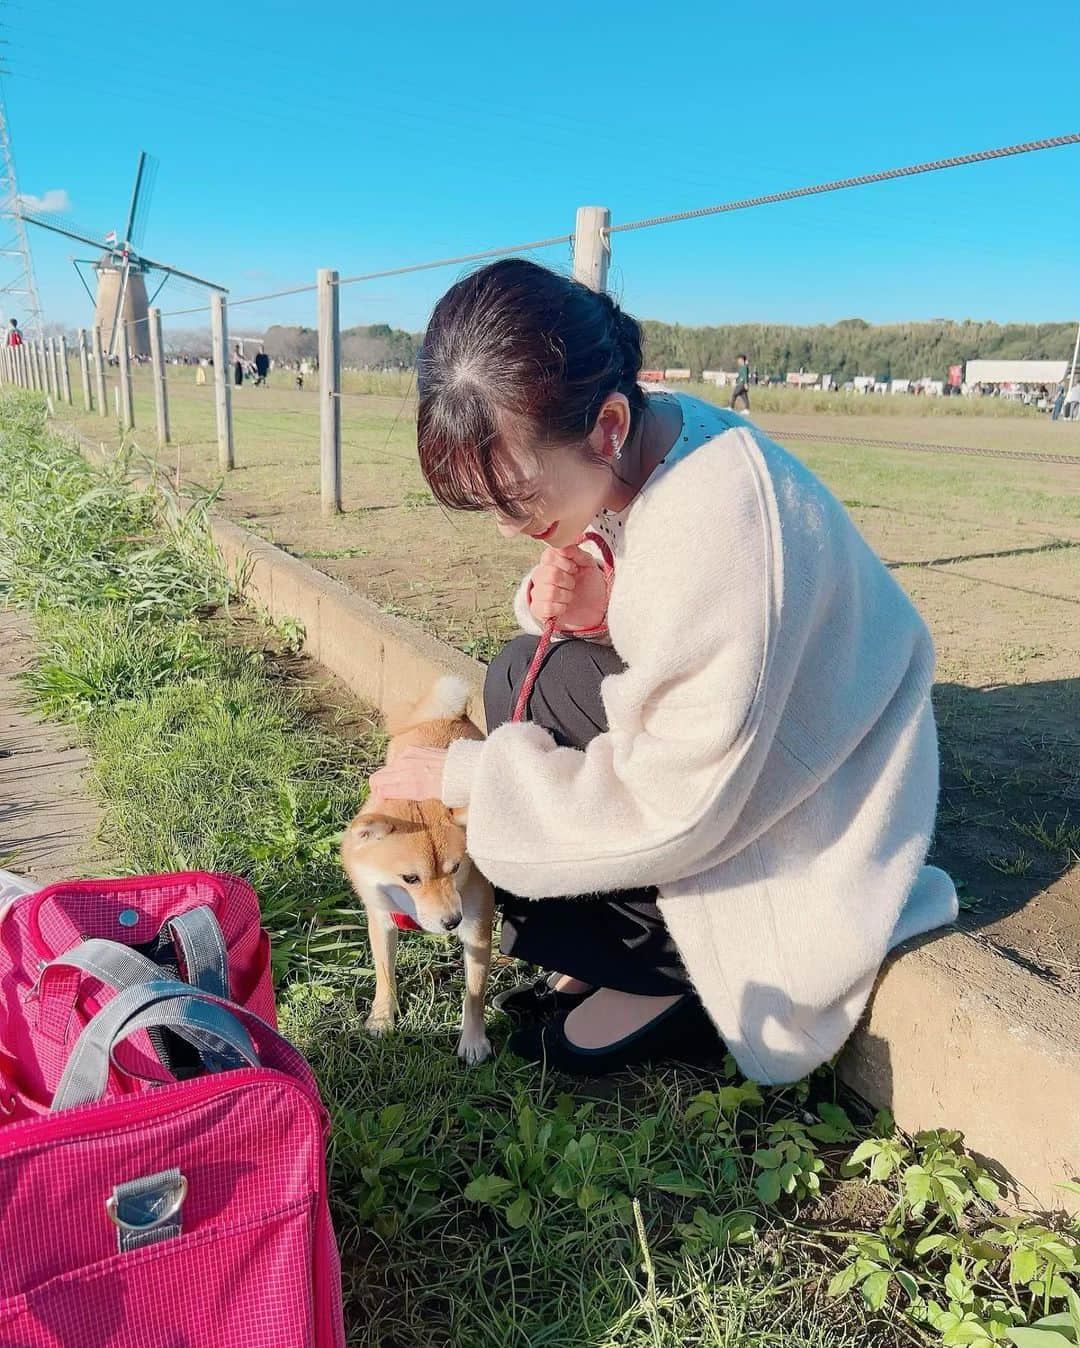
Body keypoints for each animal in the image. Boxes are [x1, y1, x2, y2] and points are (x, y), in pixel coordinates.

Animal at [339, 674, 496, 1062]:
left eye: (456, 868)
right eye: (410, 878)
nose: (451, 921)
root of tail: (444, 716)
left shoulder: (477, 929)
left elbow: (474, 994)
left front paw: (473, 1040)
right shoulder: (381, 918)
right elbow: (384, 974)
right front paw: (382, 1019)